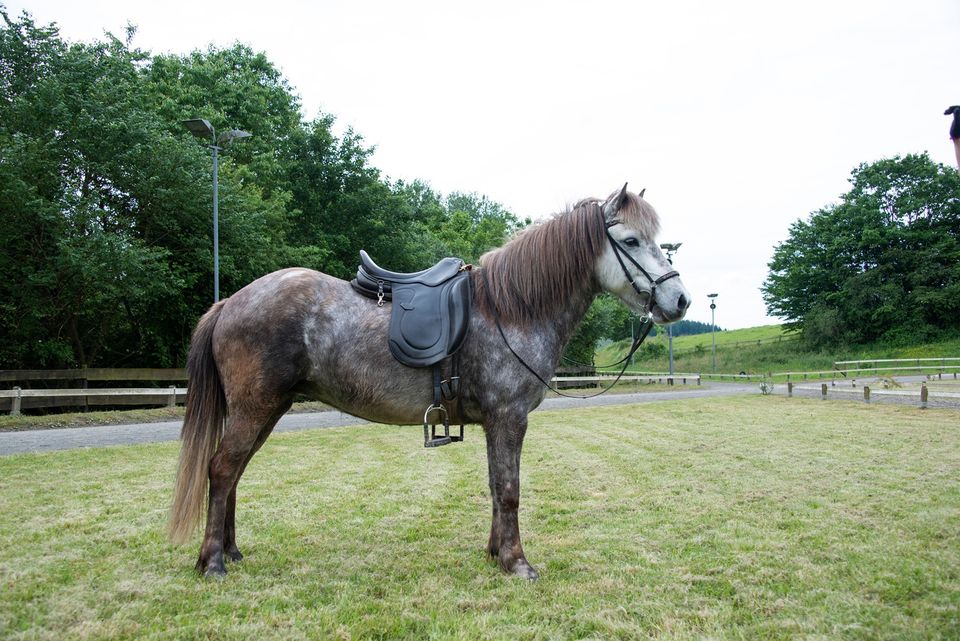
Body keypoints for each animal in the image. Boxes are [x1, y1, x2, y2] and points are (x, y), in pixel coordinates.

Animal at [167, 185, 688, 580]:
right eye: (631, 241)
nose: (679, 299)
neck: (510, 310)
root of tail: (230, 302)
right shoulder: (509, 418)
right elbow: (510, 490)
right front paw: (517, 563)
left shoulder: (494, 423)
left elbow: (496, 486)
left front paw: (495, 554)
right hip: (255, 407)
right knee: (222, 470)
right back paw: (212, 562)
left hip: (267, 410)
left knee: (234, 472)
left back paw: (230, 551)